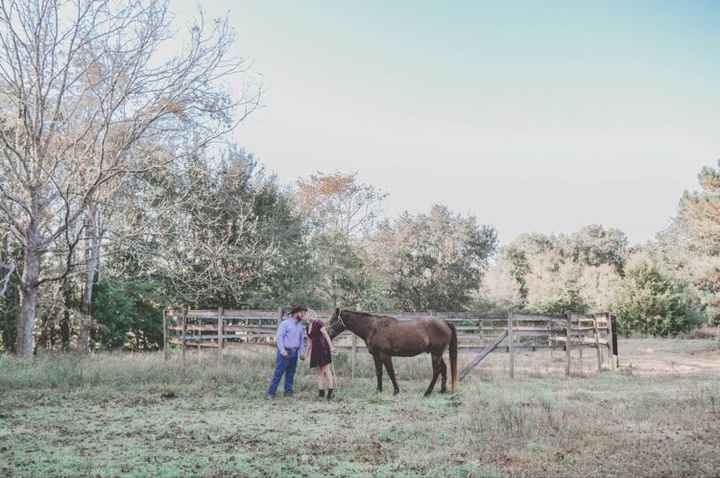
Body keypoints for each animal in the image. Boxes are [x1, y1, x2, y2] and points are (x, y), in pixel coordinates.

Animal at [328, 310, 458, 396]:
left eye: (333, 320)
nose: (327, 334)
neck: (373, 328)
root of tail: (445, 322)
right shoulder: (376, 356)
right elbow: (379, 372)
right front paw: (378, 390)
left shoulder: (385, 355)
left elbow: (390, 372)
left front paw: (396, 391)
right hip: (437, 354)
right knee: (443, 368)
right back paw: (442, 390)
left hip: (435, 354)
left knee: (436, 371)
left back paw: (427, 392)